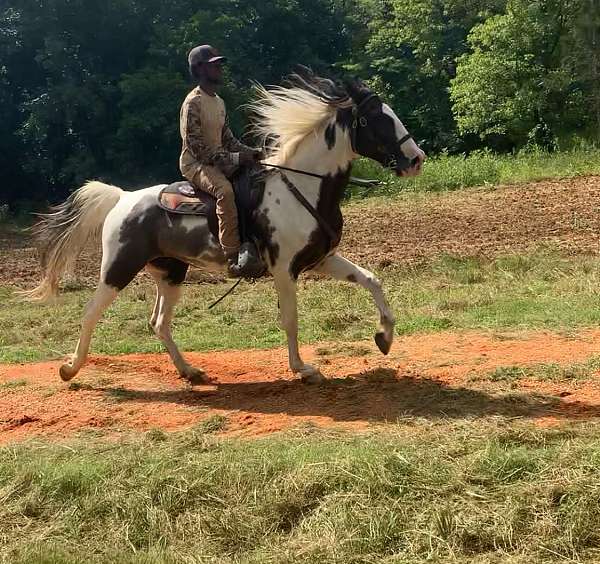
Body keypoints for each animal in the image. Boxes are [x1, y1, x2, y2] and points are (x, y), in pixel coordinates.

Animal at [24, 70, 426, 386]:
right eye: (377, 119)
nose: (416, 159)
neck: (303, 186)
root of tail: (122, 198)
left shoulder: (320, 259)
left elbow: (371, 280)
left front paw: (384, 336)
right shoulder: (284, 270)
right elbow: (290, 319)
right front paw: (303, 369)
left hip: (171, 272)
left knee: (159, 323)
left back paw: (190, 371)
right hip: (119, 268)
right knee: (92, 312)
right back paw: (70, 369)